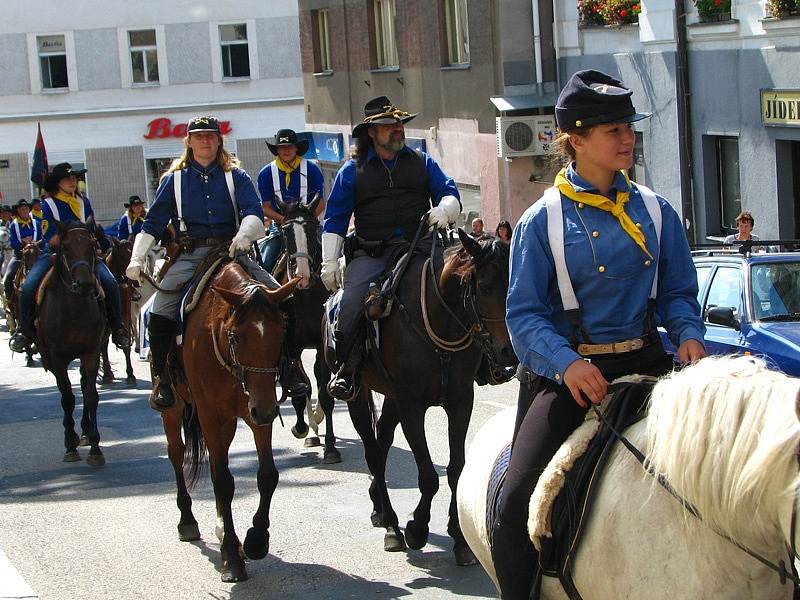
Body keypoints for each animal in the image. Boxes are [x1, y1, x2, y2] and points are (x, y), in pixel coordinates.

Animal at [161, 256, 298, 580]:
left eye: (281, 332)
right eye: (236, 336)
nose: (266, 410)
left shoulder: (255, 411)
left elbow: (267, 475)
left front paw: (256, 540)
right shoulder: (211, 414)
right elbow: (223, 480)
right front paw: (233, 557)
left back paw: (224, 530)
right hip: (174, 408)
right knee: (177, 453)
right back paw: (187, 520)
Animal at [274, 197, 342, 464]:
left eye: (313, 229)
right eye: (285, 231)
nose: (302, 275)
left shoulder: (321, 347)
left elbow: (325, 394)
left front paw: (331, 447)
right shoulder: (292, 346)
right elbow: (299, 389)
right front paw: (302, 428)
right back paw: (311, 430)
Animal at [328, 230, 516, 564]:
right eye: (484, 287)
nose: (509, 353)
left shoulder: (460, 402)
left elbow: (455, 469)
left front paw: (460, 538)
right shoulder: (412, 407)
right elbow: (429, 475)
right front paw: (417, 528)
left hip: (391, 399)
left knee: (383, 440)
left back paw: (379, 508)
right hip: (358, 396)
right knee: (373, 453)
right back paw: (391, 524)